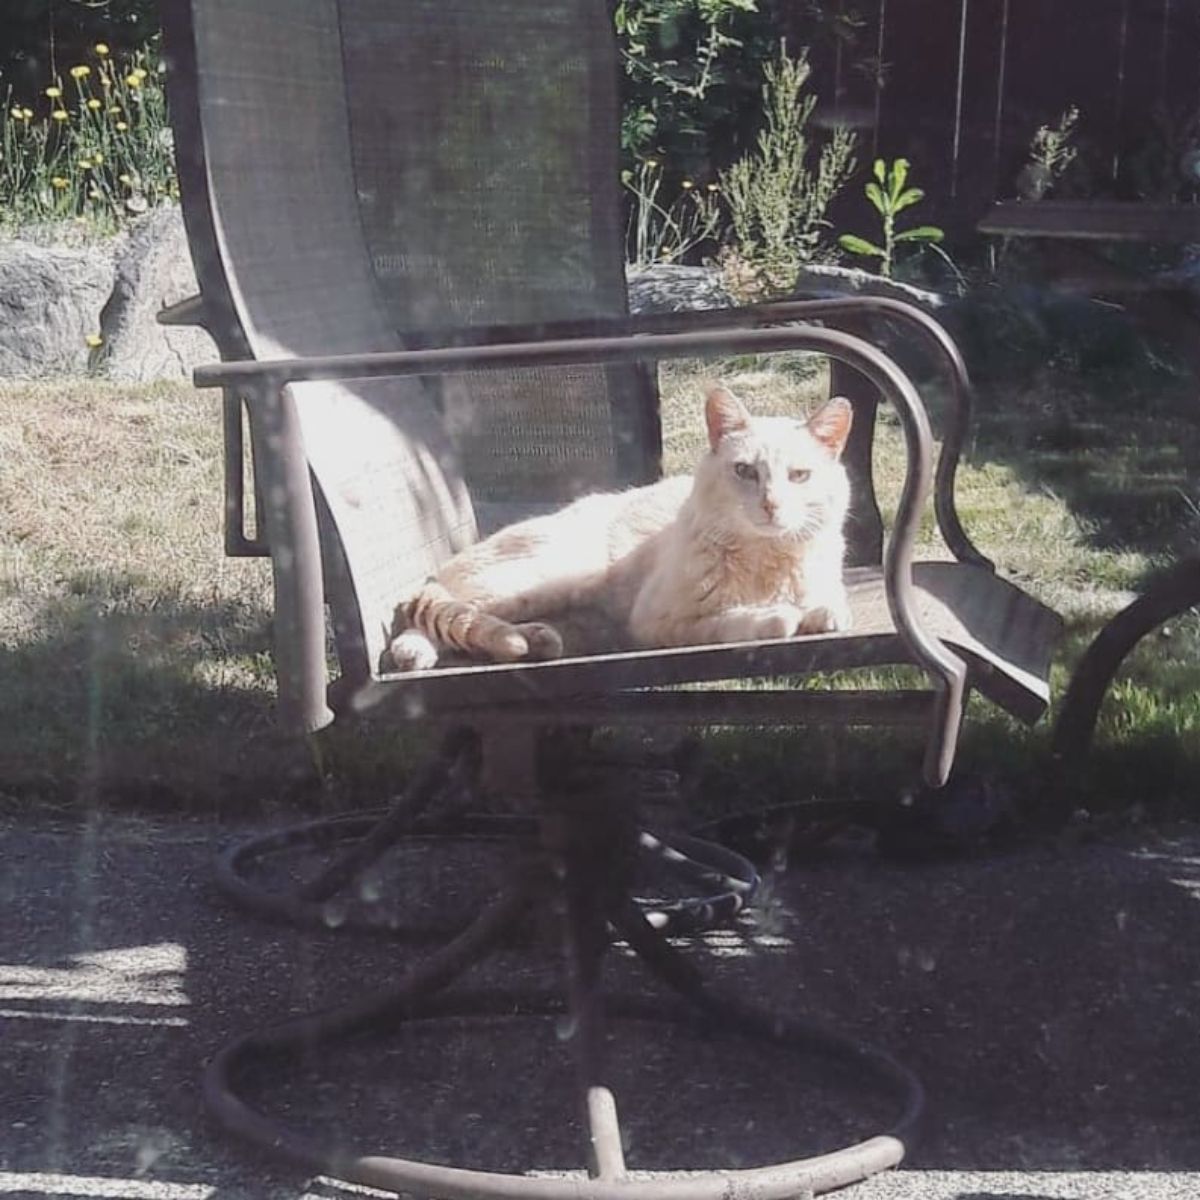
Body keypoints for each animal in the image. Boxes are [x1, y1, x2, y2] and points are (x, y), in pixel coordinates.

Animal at [391, 384, 854, 672]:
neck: (765, 560)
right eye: (744, 471)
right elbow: (737, 621)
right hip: (543, 576)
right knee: (431, 611)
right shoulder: (656, 623)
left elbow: (831, 606)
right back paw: (413, 652)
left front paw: (817, 613)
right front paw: (777, 615)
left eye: (799, 476)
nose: (771, 505)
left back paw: (538, 640)